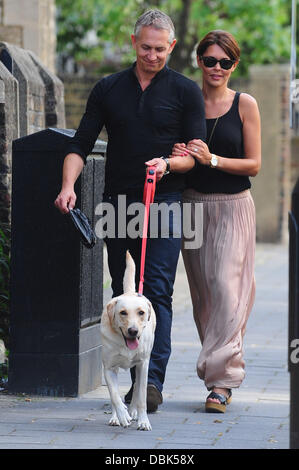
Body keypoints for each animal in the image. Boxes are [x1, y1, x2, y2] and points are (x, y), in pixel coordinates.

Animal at [101, 252, 157, 432]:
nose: (133, 331)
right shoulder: (109, 367)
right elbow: (114, 395)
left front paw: (143, 421)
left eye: (141, 312)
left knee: (137, 387)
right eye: (123, 313)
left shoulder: (143, 365)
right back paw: (116, 417)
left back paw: (133, 411)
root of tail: (131, 292)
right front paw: (121, 415)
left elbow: (142, 396)